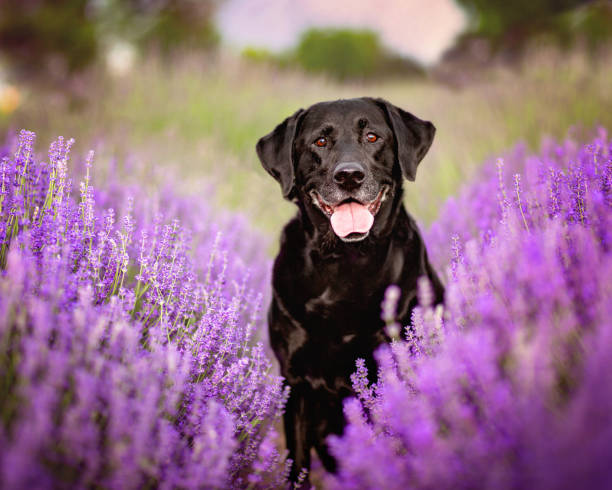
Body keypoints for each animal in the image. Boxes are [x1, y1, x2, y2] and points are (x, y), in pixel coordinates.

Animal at [256, 97, 442, 480]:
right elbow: (297, 469)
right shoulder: (296, 384)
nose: (349, 175)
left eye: (372, 136)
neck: (344, 262)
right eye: (320, 141)